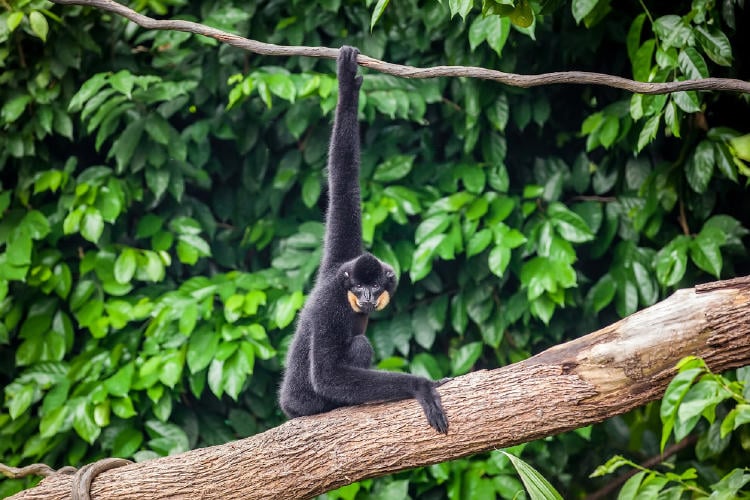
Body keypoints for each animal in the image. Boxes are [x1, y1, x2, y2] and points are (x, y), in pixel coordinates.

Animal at [279, 46, 449, 434]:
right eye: (358, 289)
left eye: (373, 287)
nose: (368, 297)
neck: (340, 284)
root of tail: (288, 406)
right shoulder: (332, 302)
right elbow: (328, 375)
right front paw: (419, 386)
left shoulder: (341, 261)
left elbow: (344, 180)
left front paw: (349, 85)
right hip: (309, 404)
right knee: (359, 345)